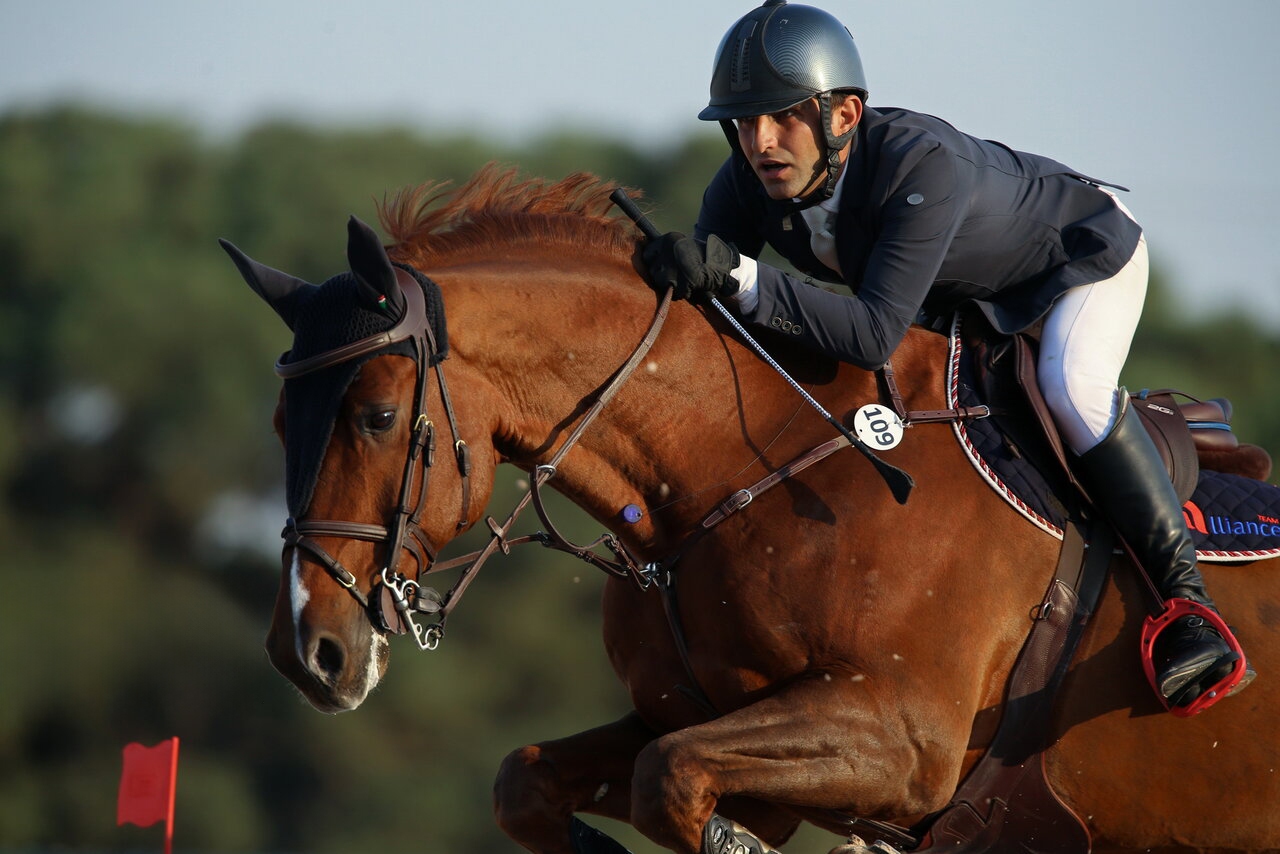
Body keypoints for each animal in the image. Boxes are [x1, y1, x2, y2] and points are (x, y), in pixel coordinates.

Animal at [225, 169, 1280, 854]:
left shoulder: (902, 743)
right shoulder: (705, 721)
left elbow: (671, 780)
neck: (743, 463)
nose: (307, 653)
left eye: (376, 415)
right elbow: (534, 780)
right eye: (277, 420)